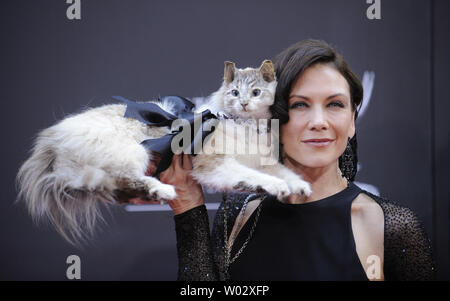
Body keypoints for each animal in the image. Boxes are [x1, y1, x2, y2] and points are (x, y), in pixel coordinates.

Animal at [17, 59, 312, 245]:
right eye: (235, 92)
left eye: (256, 92)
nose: (243, 103)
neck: (247, 126)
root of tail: (54, 138)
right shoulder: (215, 166)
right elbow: (255, 177)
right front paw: (278, 187)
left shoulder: (263, 163)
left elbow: (282, 174)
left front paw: (299, 187)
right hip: (131, 154)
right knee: (125, 180)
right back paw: (163, 190)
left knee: (114, 185)